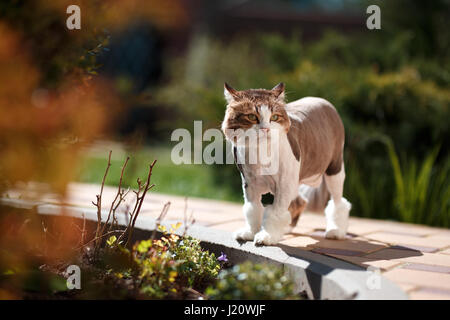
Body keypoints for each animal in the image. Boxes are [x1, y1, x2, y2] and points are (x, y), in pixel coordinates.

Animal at [221, 82, 352, 245]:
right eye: (251, 116)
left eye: (274, 117)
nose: (265, 129)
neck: (260, 153)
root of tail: (323, 101)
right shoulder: (249, 183)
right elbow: (253, 209)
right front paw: (250, 232)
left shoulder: (284, 183)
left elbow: (275, 211)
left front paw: (267, 236)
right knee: (300, 201)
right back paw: (287, 227)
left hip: (334, 168)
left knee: (338, 202)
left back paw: (336, 231)